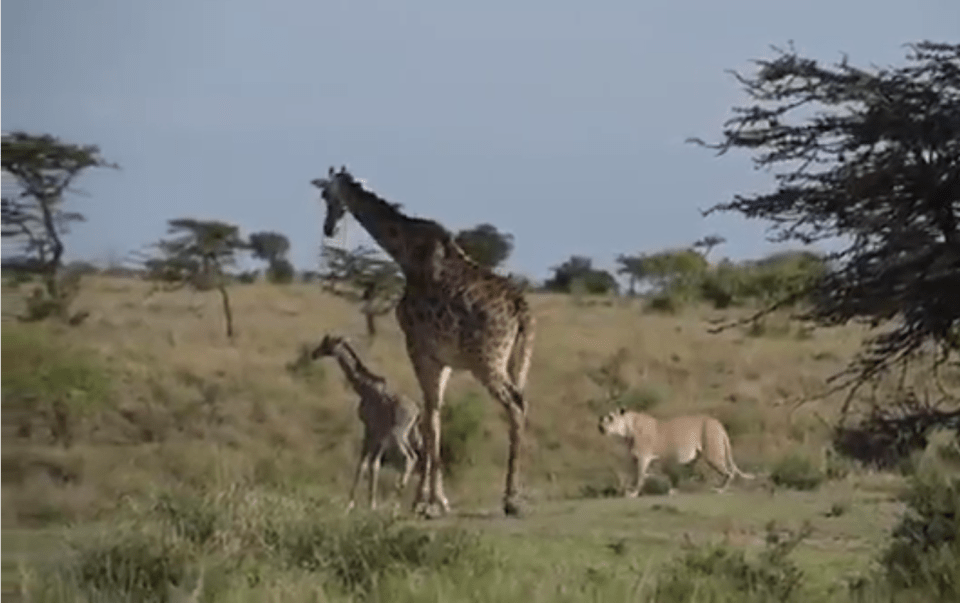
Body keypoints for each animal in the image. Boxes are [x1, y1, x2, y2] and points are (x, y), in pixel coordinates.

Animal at [314, 168, 532, 516]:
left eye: (326, 195)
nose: (329, 227)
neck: (404, 254)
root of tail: (521, 310)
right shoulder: (442, 358)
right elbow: (435, 415)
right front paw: (437, 498)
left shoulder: (417, 346)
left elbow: (428, 419)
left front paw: (424, 502)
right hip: (517, 359)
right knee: (522, 403)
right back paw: (515, 495)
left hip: (486, 362)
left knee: (514, 404)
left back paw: (511, 499)